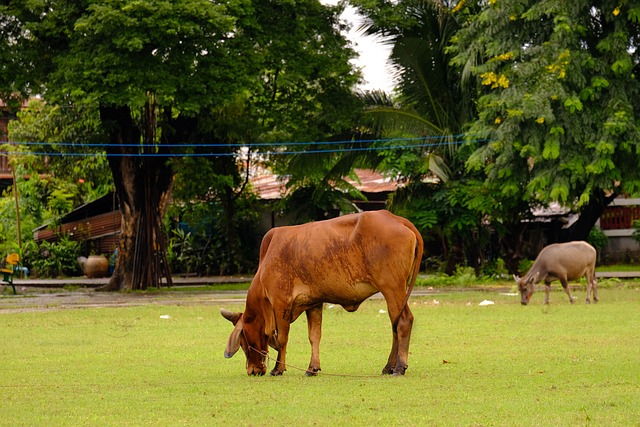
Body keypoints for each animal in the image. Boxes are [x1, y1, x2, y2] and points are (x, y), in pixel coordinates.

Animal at [221, 211, 424, 378]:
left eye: (243, 340)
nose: (252, 371)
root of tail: (397, 219)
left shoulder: (280, 303)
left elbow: (282, 338)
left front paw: (278, 369)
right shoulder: (314, 304)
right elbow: (314, 336)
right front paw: (312, 368)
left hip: (392, 289)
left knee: (403, 321)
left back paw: (399, 367)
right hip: (396, 291)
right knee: (395, 324)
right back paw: (389, 366)